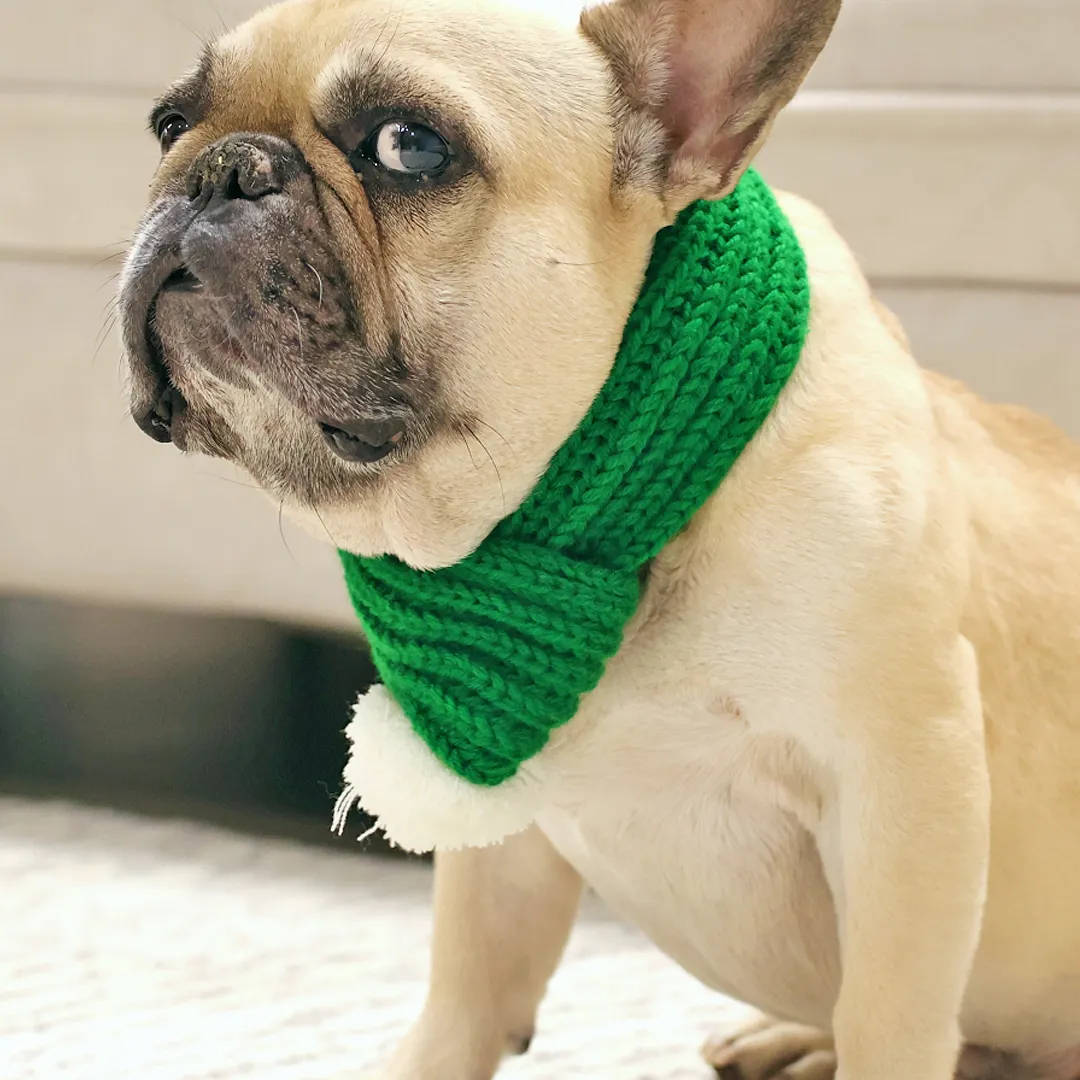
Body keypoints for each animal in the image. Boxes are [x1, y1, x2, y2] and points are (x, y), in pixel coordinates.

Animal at [118, 2, 1080, 1080]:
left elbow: (891, 1015)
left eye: (408, 147)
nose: (219, 168)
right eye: (168, 125)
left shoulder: (907, 779)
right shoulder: (499, 799)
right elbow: (470, 977)